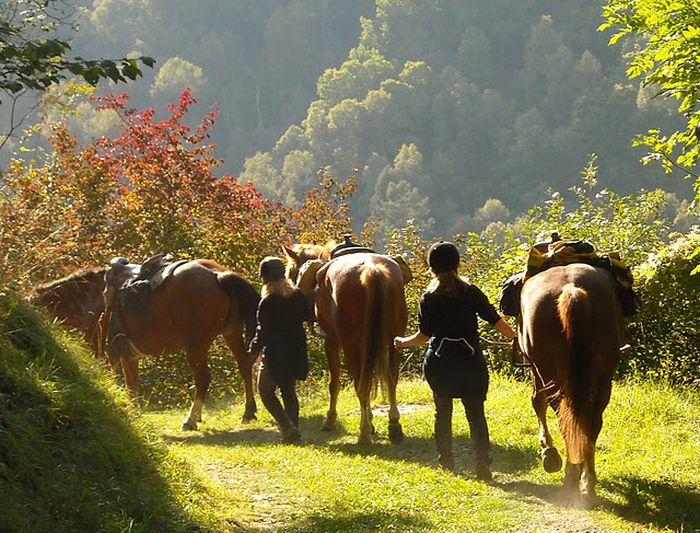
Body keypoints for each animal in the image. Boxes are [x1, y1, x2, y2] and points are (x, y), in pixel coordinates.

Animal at [282, 243, 408, 442]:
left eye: (290, 271)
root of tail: (372, 271)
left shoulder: (331, 341)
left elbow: (334, 383)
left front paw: (331, 420)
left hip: (350, 344)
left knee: (360, 384)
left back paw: (364, 432)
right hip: (394, 339)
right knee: (390, 379)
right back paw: (394, 424)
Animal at [520, 262, 624, 498]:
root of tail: (571, 289)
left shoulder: (536, 371)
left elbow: (537, 402)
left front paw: (548, 453)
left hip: (552, 376)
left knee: (566, 419)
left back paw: (570, 478)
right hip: (603, 379)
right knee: (590, 422)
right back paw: (587, 481)